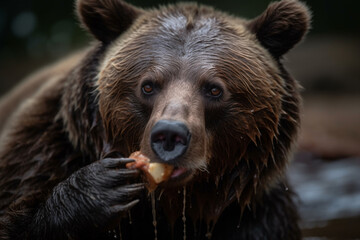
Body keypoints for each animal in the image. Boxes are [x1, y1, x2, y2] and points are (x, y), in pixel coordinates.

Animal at [0, 0, 310, 239]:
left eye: (214, 89)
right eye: (147, 85)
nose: (170, 134)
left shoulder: (257, 215)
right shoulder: (42, 153)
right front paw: (102, 188)